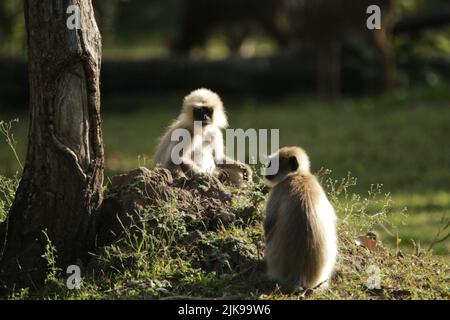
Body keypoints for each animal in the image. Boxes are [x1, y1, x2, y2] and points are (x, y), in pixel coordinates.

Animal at [262, 146, 336, 292]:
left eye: (272, 164)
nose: (266, 170)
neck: (297, 175)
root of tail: (300, 274)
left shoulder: (279, 190)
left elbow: (269, 224)